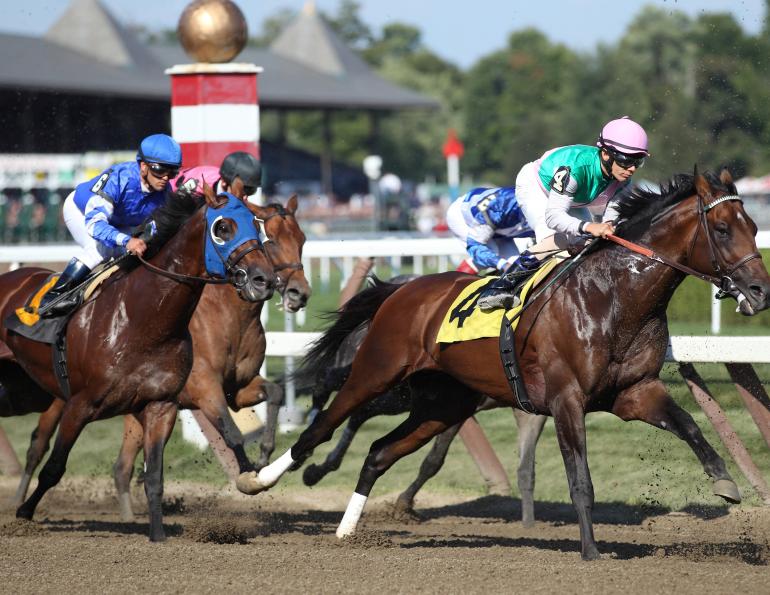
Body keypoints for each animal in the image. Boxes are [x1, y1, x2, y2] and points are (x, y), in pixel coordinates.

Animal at [9, 196, 311, 523]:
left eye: (301, 240)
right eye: (271, 240)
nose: (299, 292)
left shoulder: (238, 389)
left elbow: (275, 392)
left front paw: (264, 457)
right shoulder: (204, 388)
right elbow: (231, 431)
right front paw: (249, 475)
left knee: (121, 466)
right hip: (63, 396)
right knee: (39, 445)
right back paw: (20, 501)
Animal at [238, 170, 770, 560]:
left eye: (754, 228)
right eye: (722, 229)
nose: (761, 291)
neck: (612, 297)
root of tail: (402, 289)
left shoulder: (634, 392)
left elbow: (688, 424)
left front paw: (725, 483)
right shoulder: (566, 399)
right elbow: (580, 481)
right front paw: (591, 553)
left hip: (442, 404)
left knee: (378, 453)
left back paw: (348, 530)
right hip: (376, 375)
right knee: (323, 426)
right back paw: (260, 478)